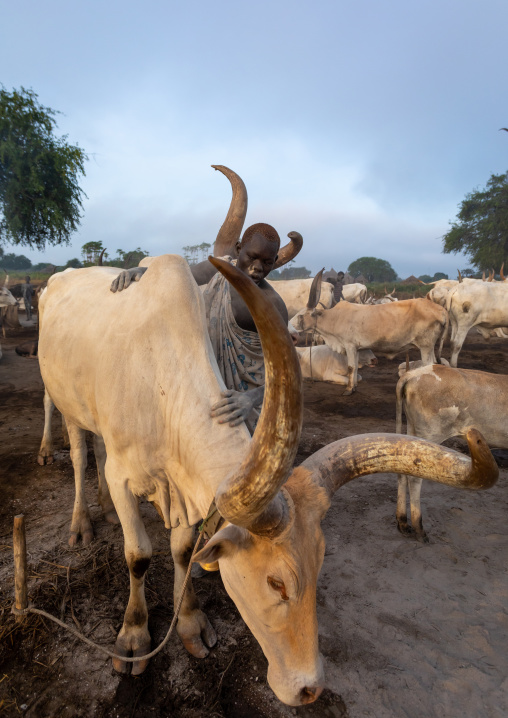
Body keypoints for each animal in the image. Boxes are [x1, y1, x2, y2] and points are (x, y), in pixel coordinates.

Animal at [292, 270, 449, 395]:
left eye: (301, 315)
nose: (291, 324)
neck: (336, 317)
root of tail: (441, 311)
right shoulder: (356, 348)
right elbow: (355, 368)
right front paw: (354, 387)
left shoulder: (349, 345)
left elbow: (351, 367)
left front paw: (348, 390)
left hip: (425, 346)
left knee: (430, 365)